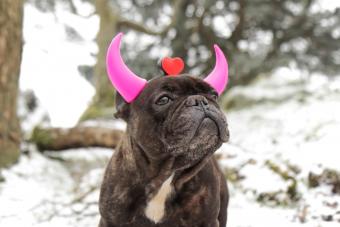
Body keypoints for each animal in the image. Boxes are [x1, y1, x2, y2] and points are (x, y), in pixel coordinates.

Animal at [99, 33, 231, 227]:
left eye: (214, 95)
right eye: (163, 100)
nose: (200, 100)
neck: (166, 175)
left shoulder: (207, 221)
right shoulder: (110, 220)